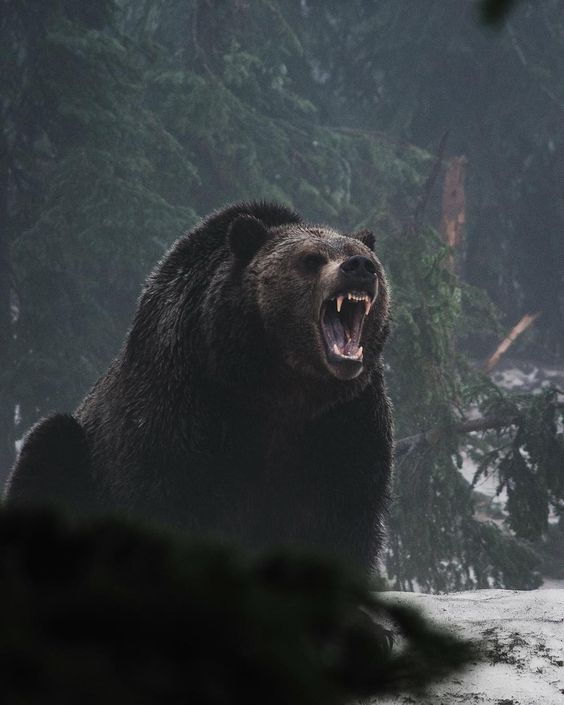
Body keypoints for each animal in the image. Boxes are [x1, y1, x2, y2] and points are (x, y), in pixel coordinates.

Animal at [5, 199, 392, 572]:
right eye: (311, 259)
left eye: (364, 255)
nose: (359, 266)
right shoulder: (185, 401)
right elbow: (167, 498)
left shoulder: (345, 421)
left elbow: (341, 518)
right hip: (82, 455)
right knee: (49, 444)